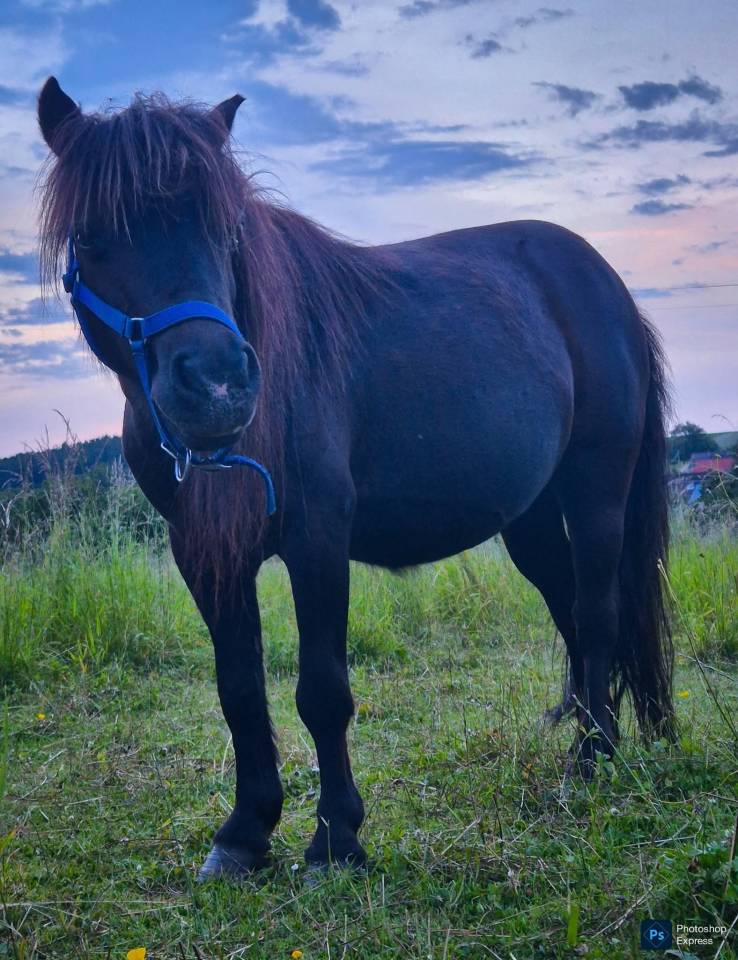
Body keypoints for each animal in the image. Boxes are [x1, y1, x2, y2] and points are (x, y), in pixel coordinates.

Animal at [37, 77, 674, 880]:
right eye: (92, 238)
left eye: (225, 229)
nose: (217, 388)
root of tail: (607, 287)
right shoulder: (204, 552)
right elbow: (239, 691)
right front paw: (245, 832)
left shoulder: (318, 539)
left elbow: (322, 692)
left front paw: (337, 837)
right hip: (529, 520)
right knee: (575, 618)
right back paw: (600, 745)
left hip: (596, 498)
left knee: (597, 616)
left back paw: (591, 763)